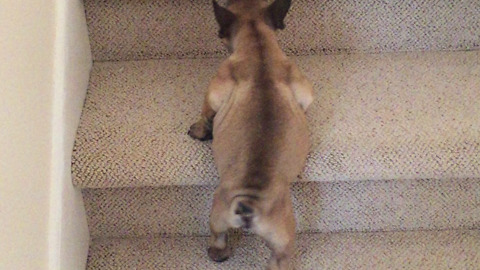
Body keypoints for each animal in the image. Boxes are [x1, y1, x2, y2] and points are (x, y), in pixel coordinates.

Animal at [188, 1, 316, 268]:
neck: (258, 45)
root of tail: (251, 202)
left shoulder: (215, 88)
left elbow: (206, 111)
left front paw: (200, 129)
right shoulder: (304, 91)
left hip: (218, 213)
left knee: (217, 236)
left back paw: (218, 253)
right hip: (281, 242)